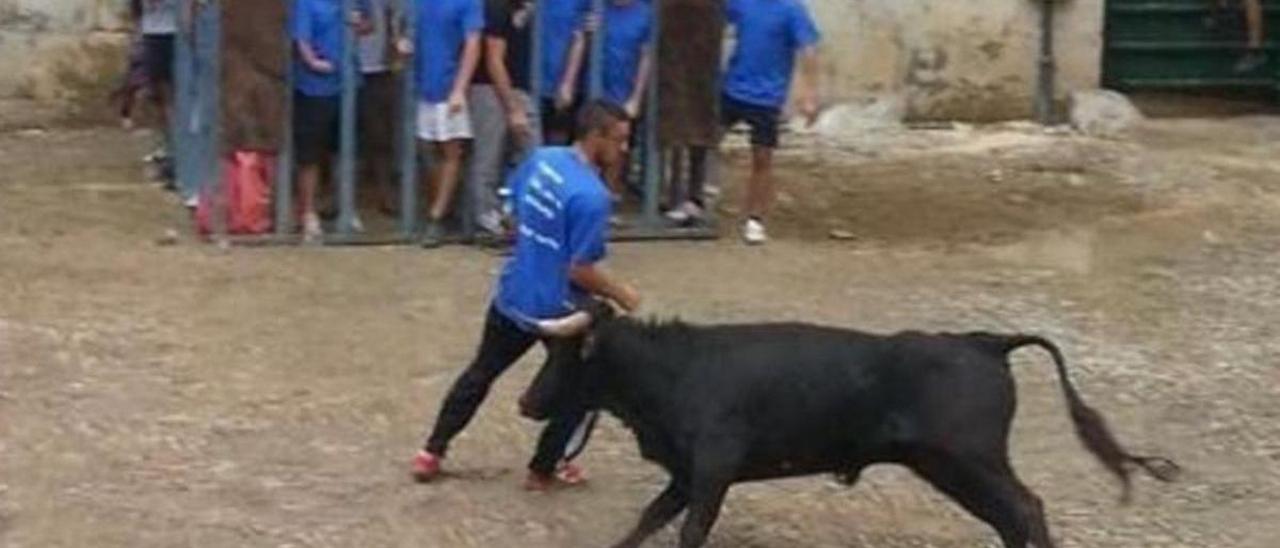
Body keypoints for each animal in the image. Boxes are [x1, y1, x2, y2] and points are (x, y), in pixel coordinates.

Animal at [522, 314, 1177, 545]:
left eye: (566, 356)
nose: (526, 402)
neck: (677, 369)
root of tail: (985, 342)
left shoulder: (712, 472)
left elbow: (689, 530)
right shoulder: (687, 476)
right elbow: (647, 521)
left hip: (974, 459)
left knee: (1026, 507)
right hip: (947, 466)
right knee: (1009, 516)